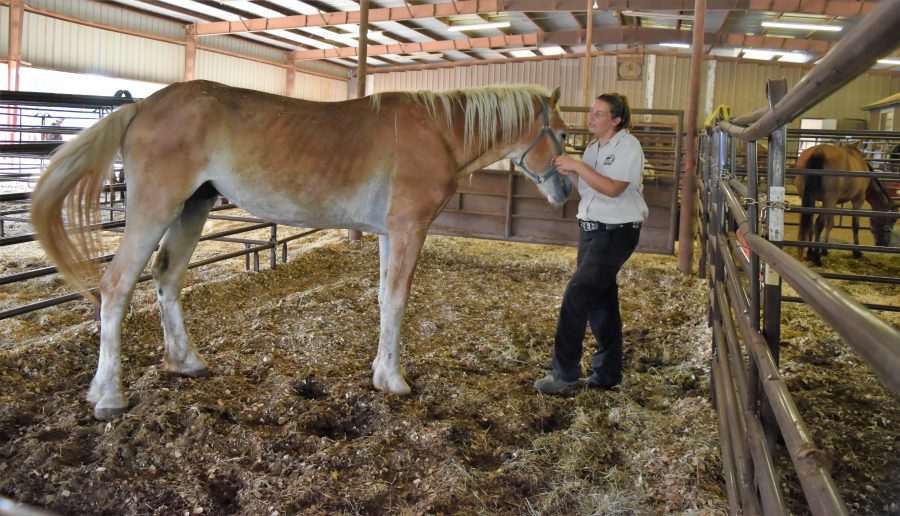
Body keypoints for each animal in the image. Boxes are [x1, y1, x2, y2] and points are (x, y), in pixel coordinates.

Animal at [29, 80, 572, 420]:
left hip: (192, 209)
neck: (438, 131)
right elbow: (398, 302)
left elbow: (384, 301)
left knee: (167, 277)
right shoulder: (408, 230)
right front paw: (394, 381)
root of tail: (141, 106)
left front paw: (380, 373)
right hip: (155, 208)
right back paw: (109, 396)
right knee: (116, 287)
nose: (566, 192)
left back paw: (185, 362)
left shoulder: (388, 234)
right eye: (565, 135)